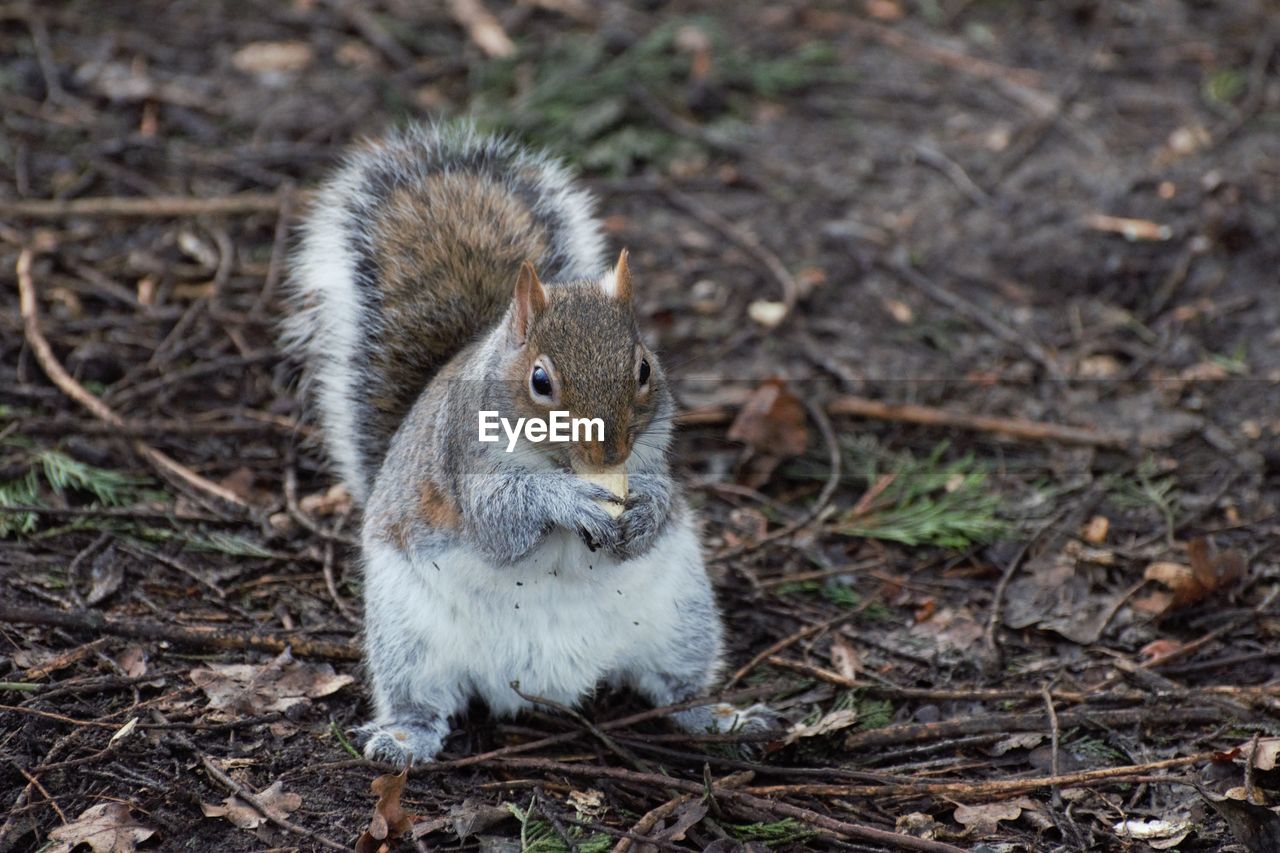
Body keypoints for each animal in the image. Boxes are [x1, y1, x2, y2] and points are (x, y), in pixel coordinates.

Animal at [288, 121, 768, 763]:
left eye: (644, 368)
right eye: (541, 381)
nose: (608, 456)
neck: (553, 459)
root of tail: (550, 685)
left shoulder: (652, 452)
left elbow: (658, 498)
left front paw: (645, 508)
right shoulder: (463, 461)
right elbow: (502, 521)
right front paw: (567, 502)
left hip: (684, 619)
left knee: (678, 688)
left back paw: (721, 717)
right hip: (407, 638)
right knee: (422, 699)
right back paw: (404, 738)